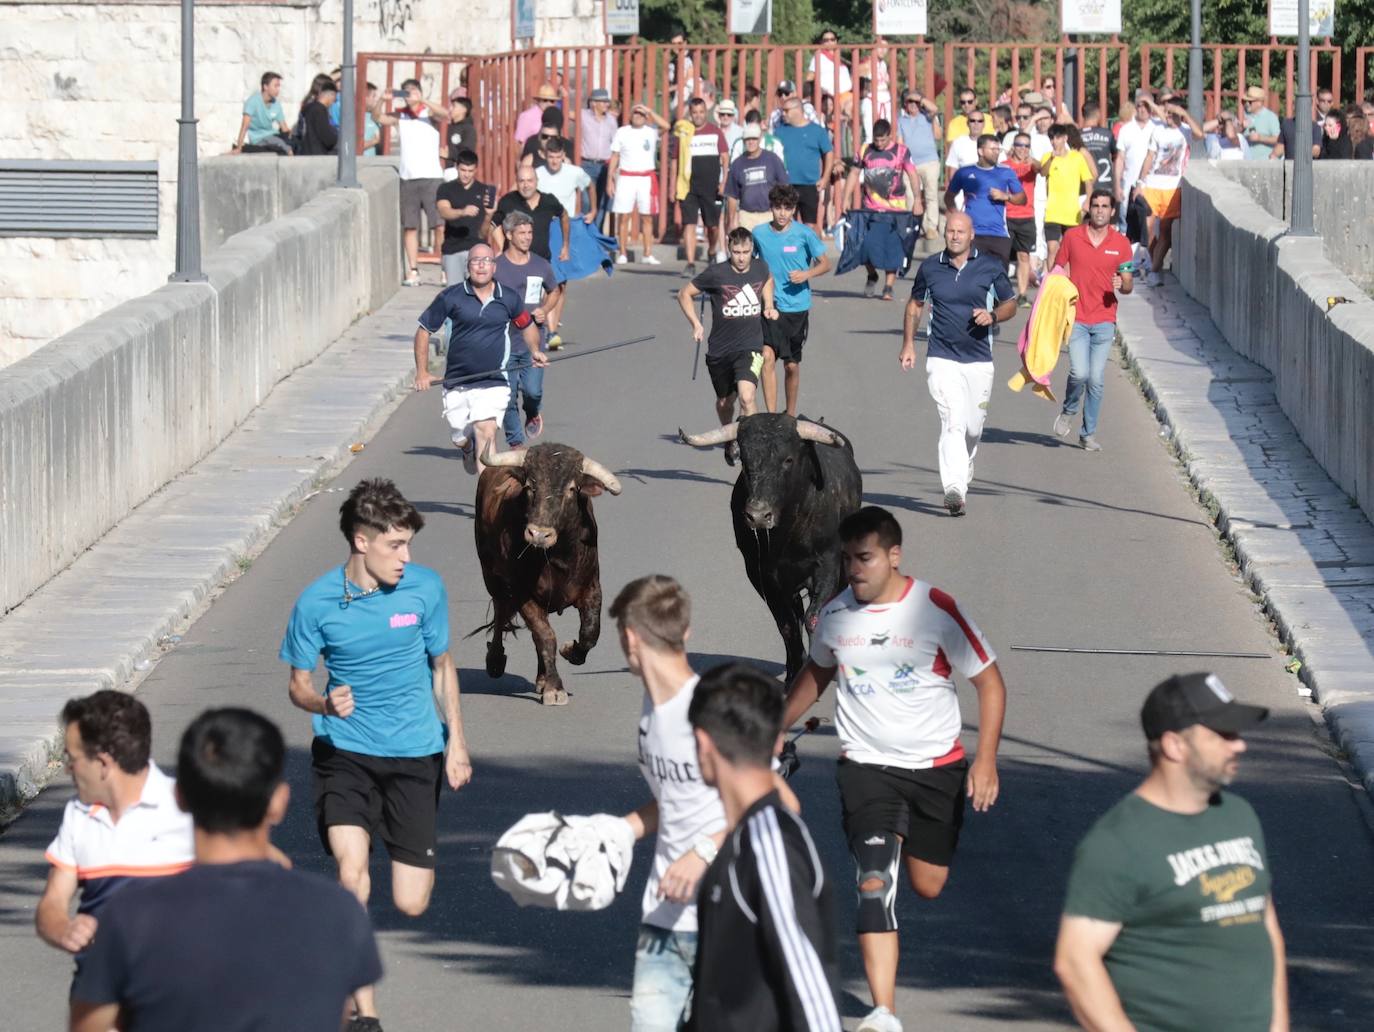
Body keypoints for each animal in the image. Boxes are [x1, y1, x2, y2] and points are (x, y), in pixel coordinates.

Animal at [472, 439, 623, 709]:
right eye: (530, 486)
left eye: (572, 488)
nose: (539, 534)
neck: (554, 558)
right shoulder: (522, 594)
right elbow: (546, 636)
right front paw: (555, 688)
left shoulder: (592, 588)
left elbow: (590, 633)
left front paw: (570, 651)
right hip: (492, 578)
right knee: (501, 614)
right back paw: (496, 661)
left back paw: (541, 678)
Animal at [681, 412, 862, 687]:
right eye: (745, 460)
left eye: (787, 459)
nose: (757, 515)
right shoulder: (762, 575)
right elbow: (786, 624)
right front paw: (794, 673)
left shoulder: (828, 564)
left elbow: (814, 618)